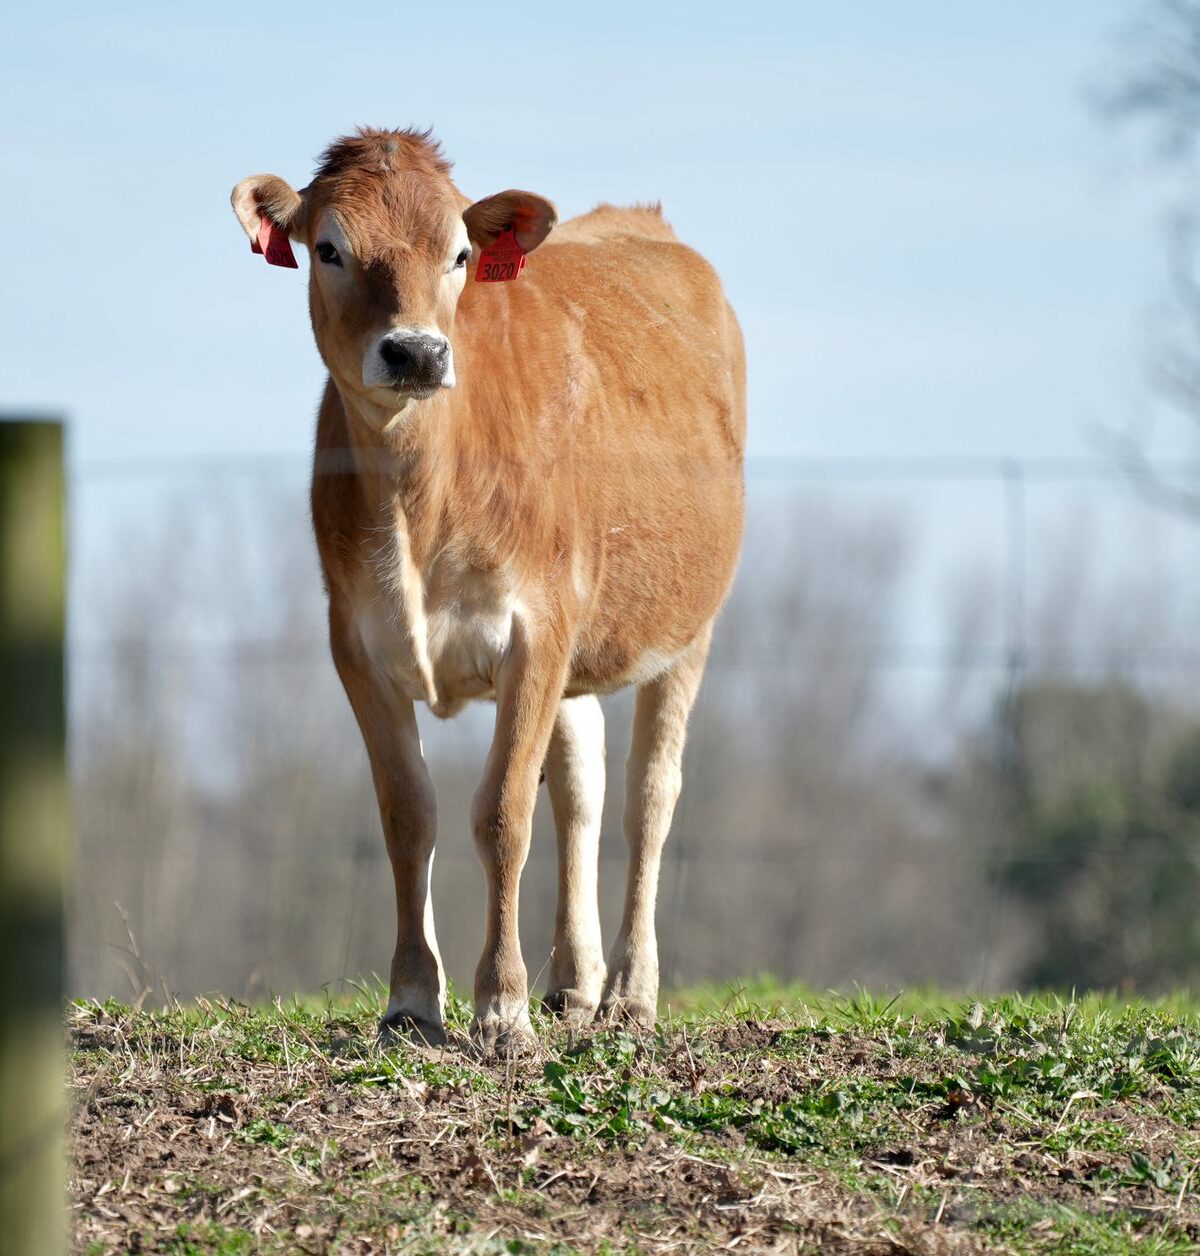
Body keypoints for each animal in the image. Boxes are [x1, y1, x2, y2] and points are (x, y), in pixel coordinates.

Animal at [230, 128, 745, 1053]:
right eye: (329, 249)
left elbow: (503, 813)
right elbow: (409, 815)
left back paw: (630, 992)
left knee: (650, 798)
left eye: (460, 253)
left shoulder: (535, 629)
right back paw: (574, 981)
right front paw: (411, 1000)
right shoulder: (356, 642)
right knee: (582, 787)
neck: (418, 497)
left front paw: (501, 1007)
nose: (416, 352)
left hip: (689, 628)